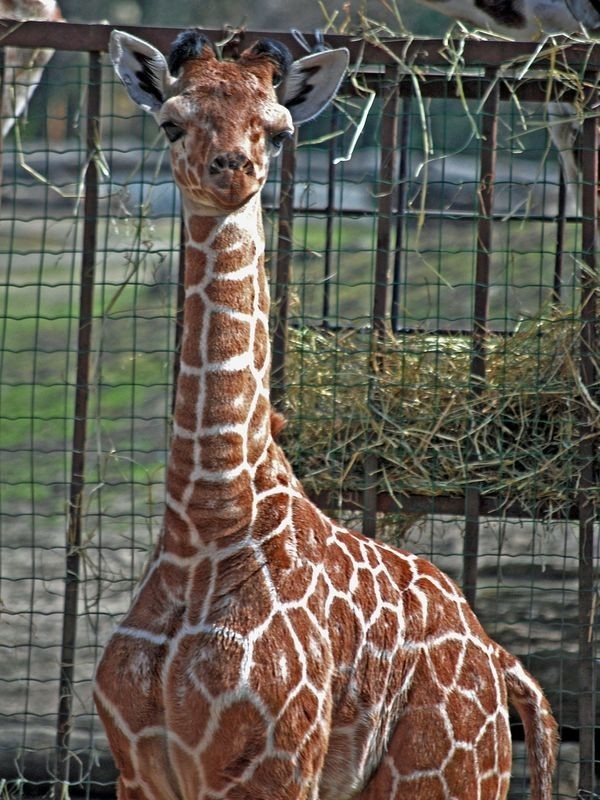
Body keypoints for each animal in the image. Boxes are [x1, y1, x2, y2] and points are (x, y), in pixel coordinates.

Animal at [94, 26, 556, 800]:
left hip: (440, 779)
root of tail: (503, 664)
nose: (234, 169)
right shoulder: (138, 769)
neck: (205, 523)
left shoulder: (272, 769)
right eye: (172, 122)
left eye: (279, 131)